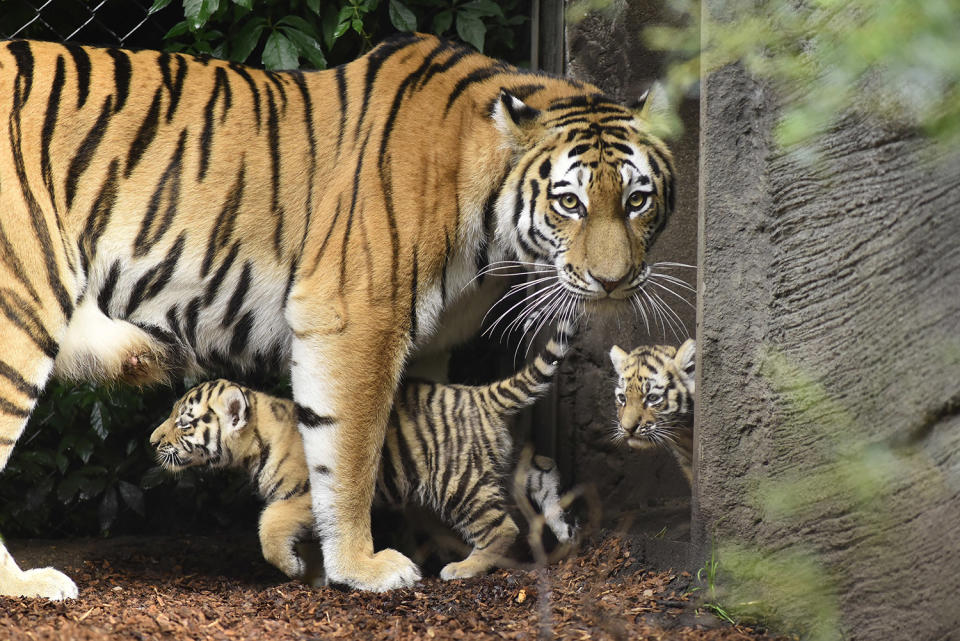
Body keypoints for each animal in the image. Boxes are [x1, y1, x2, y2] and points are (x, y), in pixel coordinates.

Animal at [0, 33, 676, 596]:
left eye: (637, 199)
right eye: (570, 202)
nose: (613, 280)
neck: (488, 219)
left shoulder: (432, 344)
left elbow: (426, 427)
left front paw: (428, 540)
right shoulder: (354, 317)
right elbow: (350, 453)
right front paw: (364, 566)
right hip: (20, 307)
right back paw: (30, 584)